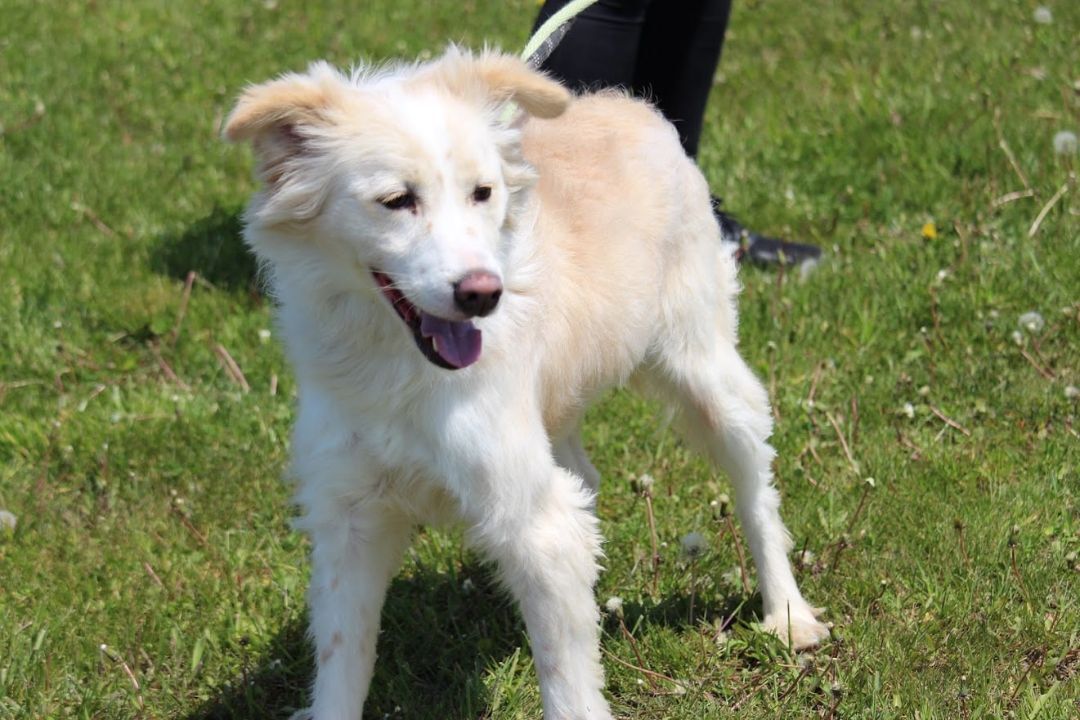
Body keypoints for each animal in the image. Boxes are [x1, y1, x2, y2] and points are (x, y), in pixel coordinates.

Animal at [223, 47, 820, 716]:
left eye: (483, 193)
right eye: (397, 199)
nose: (484, 294)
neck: (394, 367)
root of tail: (631, 105)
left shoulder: (538, 525)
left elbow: (568, 686)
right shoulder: (348, 517)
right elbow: (340, 664)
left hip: (705, 371)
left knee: (754, 487)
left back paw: (788, 613)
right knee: (586, 481)